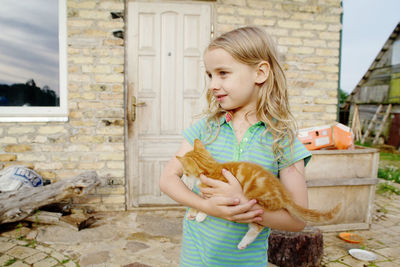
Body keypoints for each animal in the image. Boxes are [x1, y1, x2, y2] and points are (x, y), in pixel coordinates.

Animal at [177, 139, 342, 250]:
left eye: (185, 172)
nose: (182, 179)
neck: (211, 169)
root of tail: (284, 195)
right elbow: (201, 199)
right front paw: (193, 211)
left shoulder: (223, 192)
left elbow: (209, 203)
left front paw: (200, 215)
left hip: (255, 203)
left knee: (258, 227)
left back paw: (244, 242)